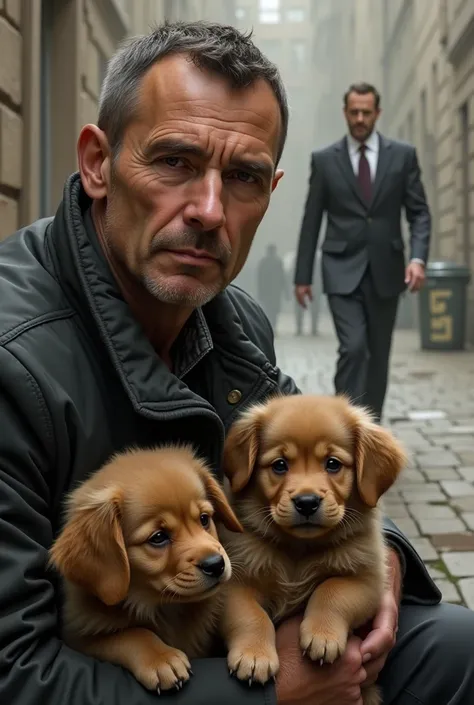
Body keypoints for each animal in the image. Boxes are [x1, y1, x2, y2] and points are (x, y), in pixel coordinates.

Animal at [50, 446, 243, 692]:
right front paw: (161, 658)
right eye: (158, 537)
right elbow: (131, 634)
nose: (216, 564)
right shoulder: (78, 639)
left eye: (204, 519)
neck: (164, 609)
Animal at [220, 396, 406, 704]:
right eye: (280, 465)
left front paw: (323, 635)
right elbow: (250, 615)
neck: (299, 549)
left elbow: (332, 590)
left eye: (332, 464)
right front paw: (254, 656)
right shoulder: (233, 581)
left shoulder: (367, 580)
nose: (306, 502)